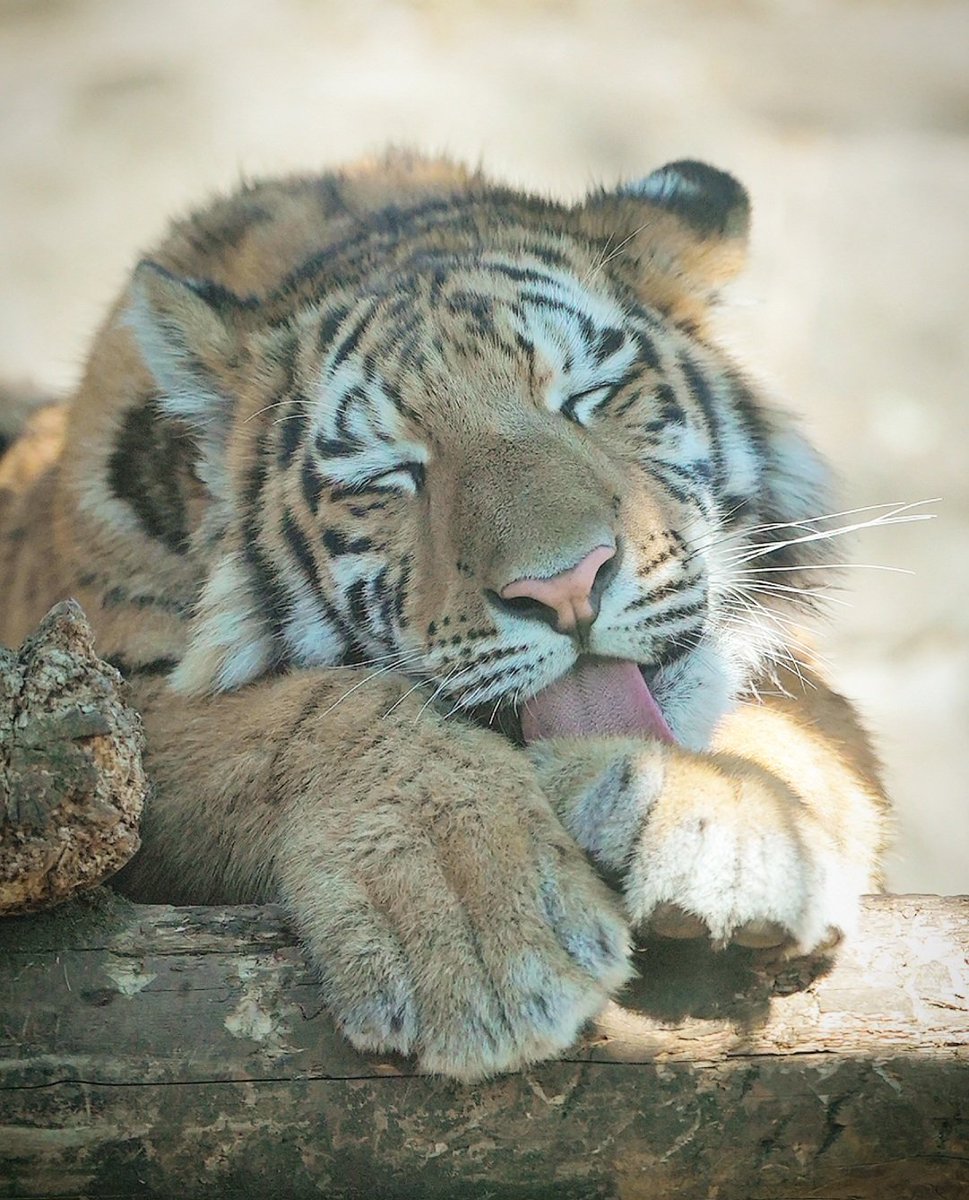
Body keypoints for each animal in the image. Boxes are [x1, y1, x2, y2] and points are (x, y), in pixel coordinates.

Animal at [0, 151, 889, 1080]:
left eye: (591, 394)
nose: (566, 586)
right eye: (389, 473)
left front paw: (733, 823)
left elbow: (801, 718)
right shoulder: (103, 701)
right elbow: (324, 712)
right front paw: (478, 935)